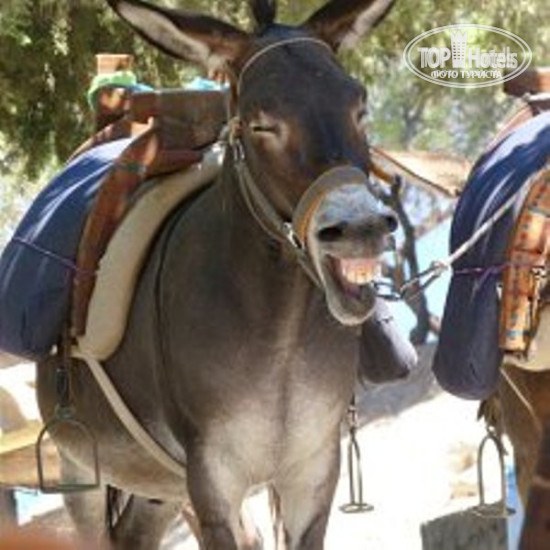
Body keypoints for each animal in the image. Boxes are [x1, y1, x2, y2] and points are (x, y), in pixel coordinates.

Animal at [36, 1, 413, 548]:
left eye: (359, 106)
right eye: (260, 125)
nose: (361, 229)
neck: (280, 336)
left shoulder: (313, 472)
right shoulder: (214, 483)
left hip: (159, 487)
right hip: (81, 472)